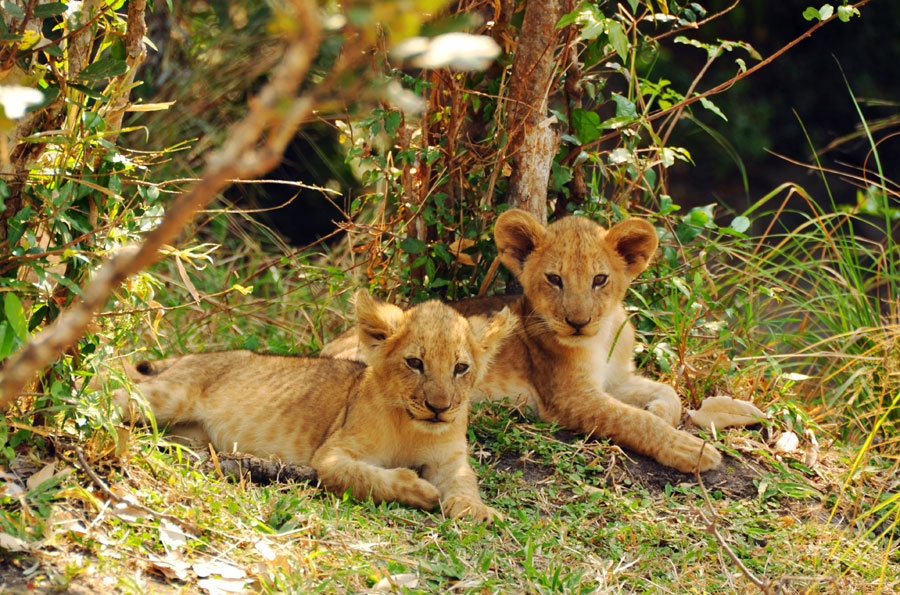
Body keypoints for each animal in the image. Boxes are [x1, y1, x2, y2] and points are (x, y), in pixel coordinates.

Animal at [112, 290, 516, 522]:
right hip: (166, 395)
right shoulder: (332, 455)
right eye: (415, 363)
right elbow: (368, 477)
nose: (439, 407)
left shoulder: (451, 460)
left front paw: (477, 511)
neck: (413, 427)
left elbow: (465, 484)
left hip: (187, 432)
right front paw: (421, 490)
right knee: (115, 391)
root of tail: (190, 358)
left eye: (460, 368)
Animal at [322, 210, 722, 473]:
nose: (578, 323)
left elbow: (667, 393)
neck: (603, 337)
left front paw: (661, 411)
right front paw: (692, 449)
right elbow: (633, 421)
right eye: (555, 279)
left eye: (600, 279)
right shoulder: (569, 398)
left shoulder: (616, 378)